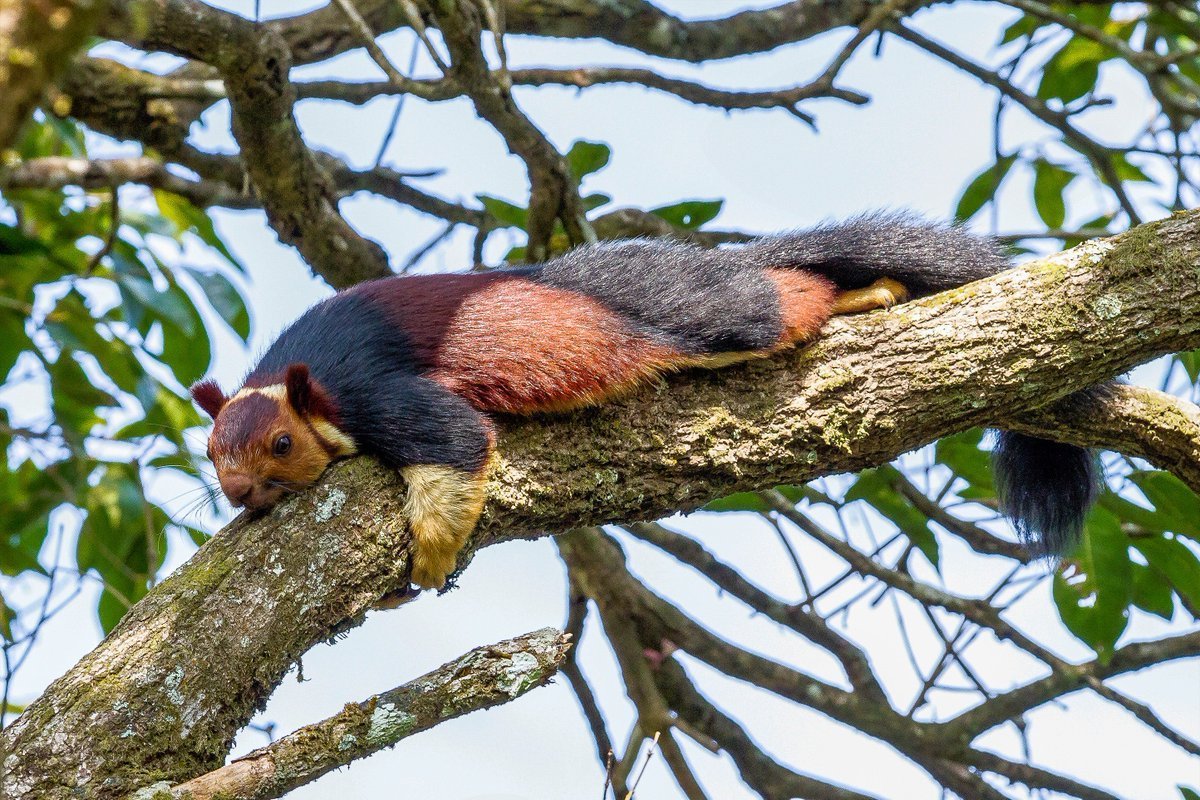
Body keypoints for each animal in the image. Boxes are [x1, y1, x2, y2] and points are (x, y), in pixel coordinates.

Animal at [191, 213, 1099, 589]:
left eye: (279, 445)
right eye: (210, 453)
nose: (237, 492)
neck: (305, 380)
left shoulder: (375, 391)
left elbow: (454, 444)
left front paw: (432, 556)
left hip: (711, 315)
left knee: (776, 299)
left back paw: (859, 293)